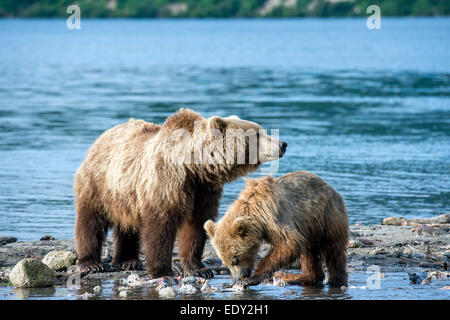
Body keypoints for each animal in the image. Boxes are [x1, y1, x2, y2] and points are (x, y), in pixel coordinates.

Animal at [72, 108, 286, 278]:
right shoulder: (167, 182)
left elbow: (196, 226)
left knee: (128, 224)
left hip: (126, 193)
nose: (283, 143)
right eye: (257, 133)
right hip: (99, 183)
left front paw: (199, 269)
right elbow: (160, 225)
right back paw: (92, 263)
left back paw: (128, 261)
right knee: (91, 220)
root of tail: (101, 137)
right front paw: (162, 270)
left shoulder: (203, 190)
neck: (193, 167)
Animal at [204, 171, 348, 286]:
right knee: (309, 252)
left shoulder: (274, 217)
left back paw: (336, 281)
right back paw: (304, 279)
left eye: (235, 259)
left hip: (327, 216)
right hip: (309, 225)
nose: (237, 278)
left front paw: (251, 279)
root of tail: (332, 189)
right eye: (225, 262)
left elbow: (290, 243)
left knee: (333, 250)